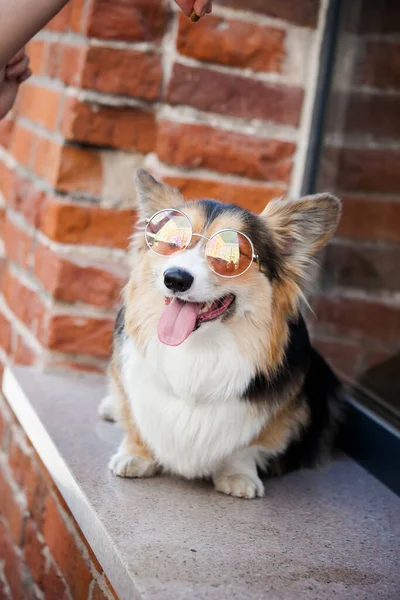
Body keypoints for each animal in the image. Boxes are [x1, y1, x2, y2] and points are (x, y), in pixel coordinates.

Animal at [99, 169, 340, 496]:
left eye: (232, 257)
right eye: (171, 242)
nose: (175, 279)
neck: (196, 348)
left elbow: (247, 446)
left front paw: (238, 476)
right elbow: (135, 420)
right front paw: (135, 456)